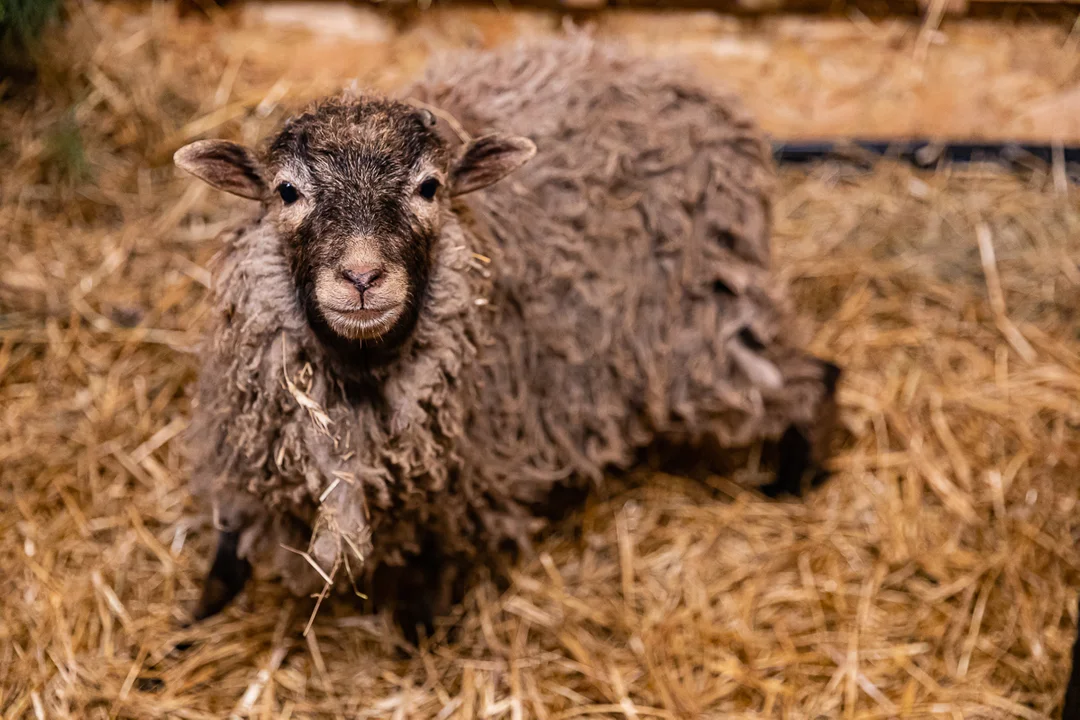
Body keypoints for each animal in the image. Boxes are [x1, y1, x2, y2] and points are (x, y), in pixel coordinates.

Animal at [172, 36, 838, 639]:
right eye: (286, 191)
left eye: (430, 187)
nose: (361, 277)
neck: (361, 375)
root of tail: (685, 81)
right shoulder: (245, 452)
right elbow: (229, 539)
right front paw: (201, 609)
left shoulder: (460, 494)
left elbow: (429, 579)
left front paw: (421, 632)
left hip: (701, 335)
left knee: (813, 377)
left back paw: (793, 479)